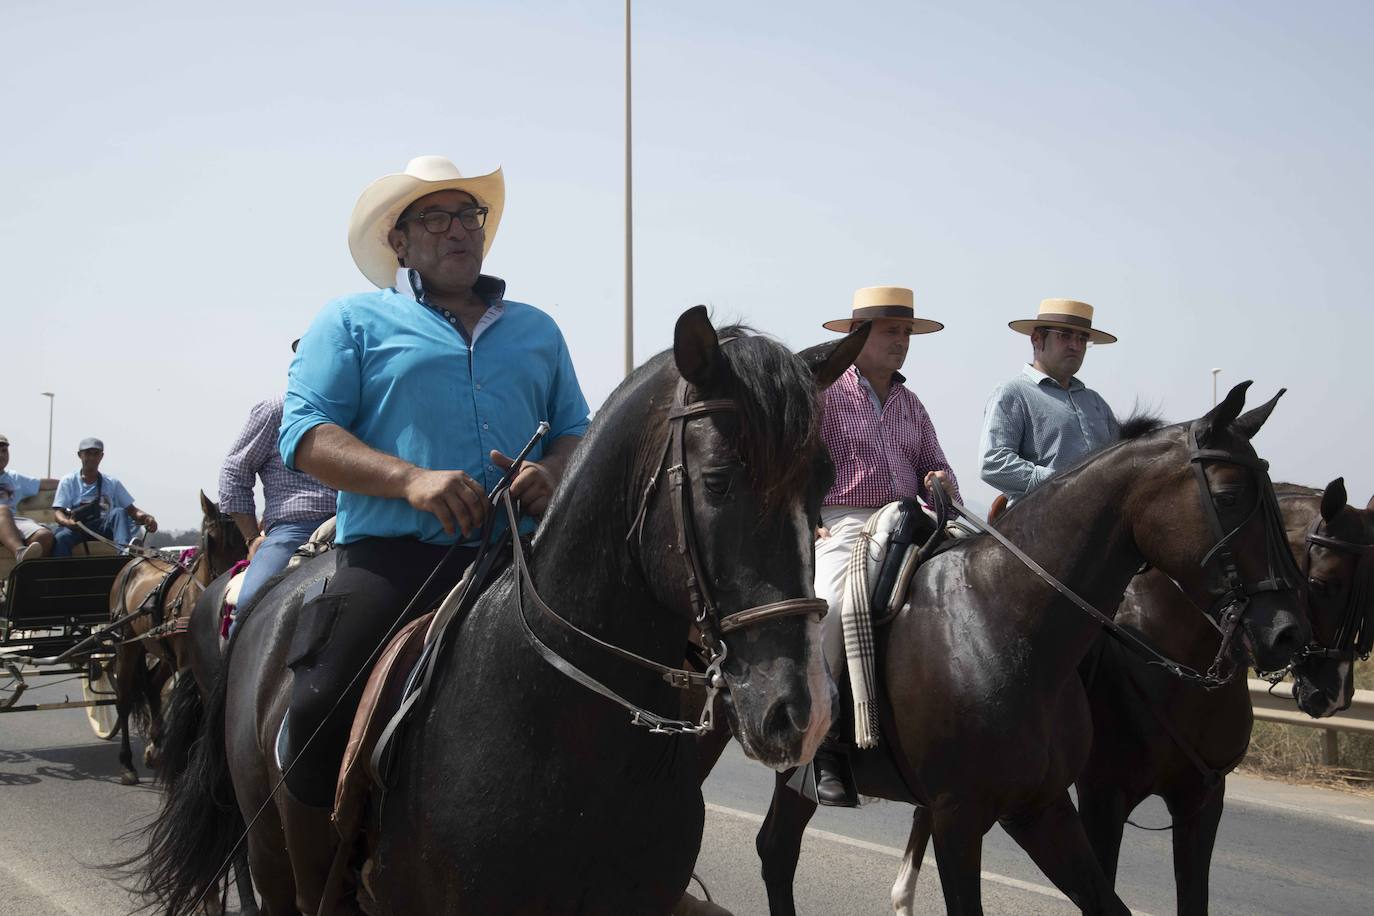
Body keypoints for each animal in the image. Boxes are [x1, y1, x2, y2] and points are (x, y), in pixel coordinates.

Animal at [105, 491, 247, 785]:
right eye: (211, 537)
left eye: (245, 536)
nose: (231, 586)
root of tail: (134, 561)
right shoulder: (187, 663)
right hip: (127, 644)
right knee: (124, 698)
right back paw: (127, 763)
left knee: (152, 687)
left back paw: (155, 747)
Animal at [752, 381, 1308, 916]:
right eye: (1230, 496)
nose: (1287, 632)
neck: (998, 617)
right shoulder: (963, 815)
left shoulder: (1044, 808)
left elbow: (1108, 902)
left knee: (775, 850)